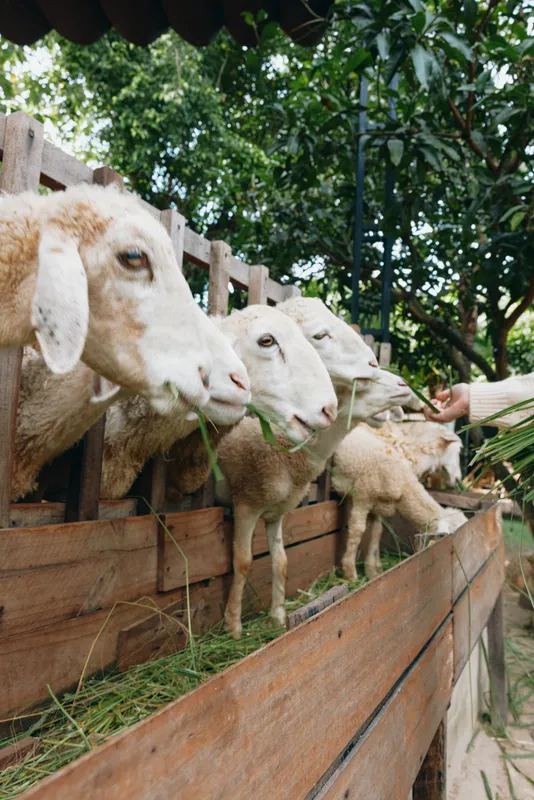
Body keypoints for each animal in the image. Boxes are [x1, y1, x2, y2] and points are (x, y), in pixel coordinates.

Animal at [218, 365, 412, 639]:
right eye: (362, 380)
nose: (405, 385)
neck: (288, 449)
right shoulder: (246, 502)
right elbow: (244, 561)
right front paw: (233, 626)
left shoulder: (276, 512)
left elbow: (281, 562)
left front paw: (278, 617)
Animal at [332, 424, 467, 580]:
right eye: (457, 451)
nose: (459, 479)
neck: (403, 482)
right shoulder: (362, 497)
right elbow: (357, 531)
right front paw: (350, 573)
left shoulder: (377, 506)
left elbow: (377, 532)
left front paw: (373, 571)